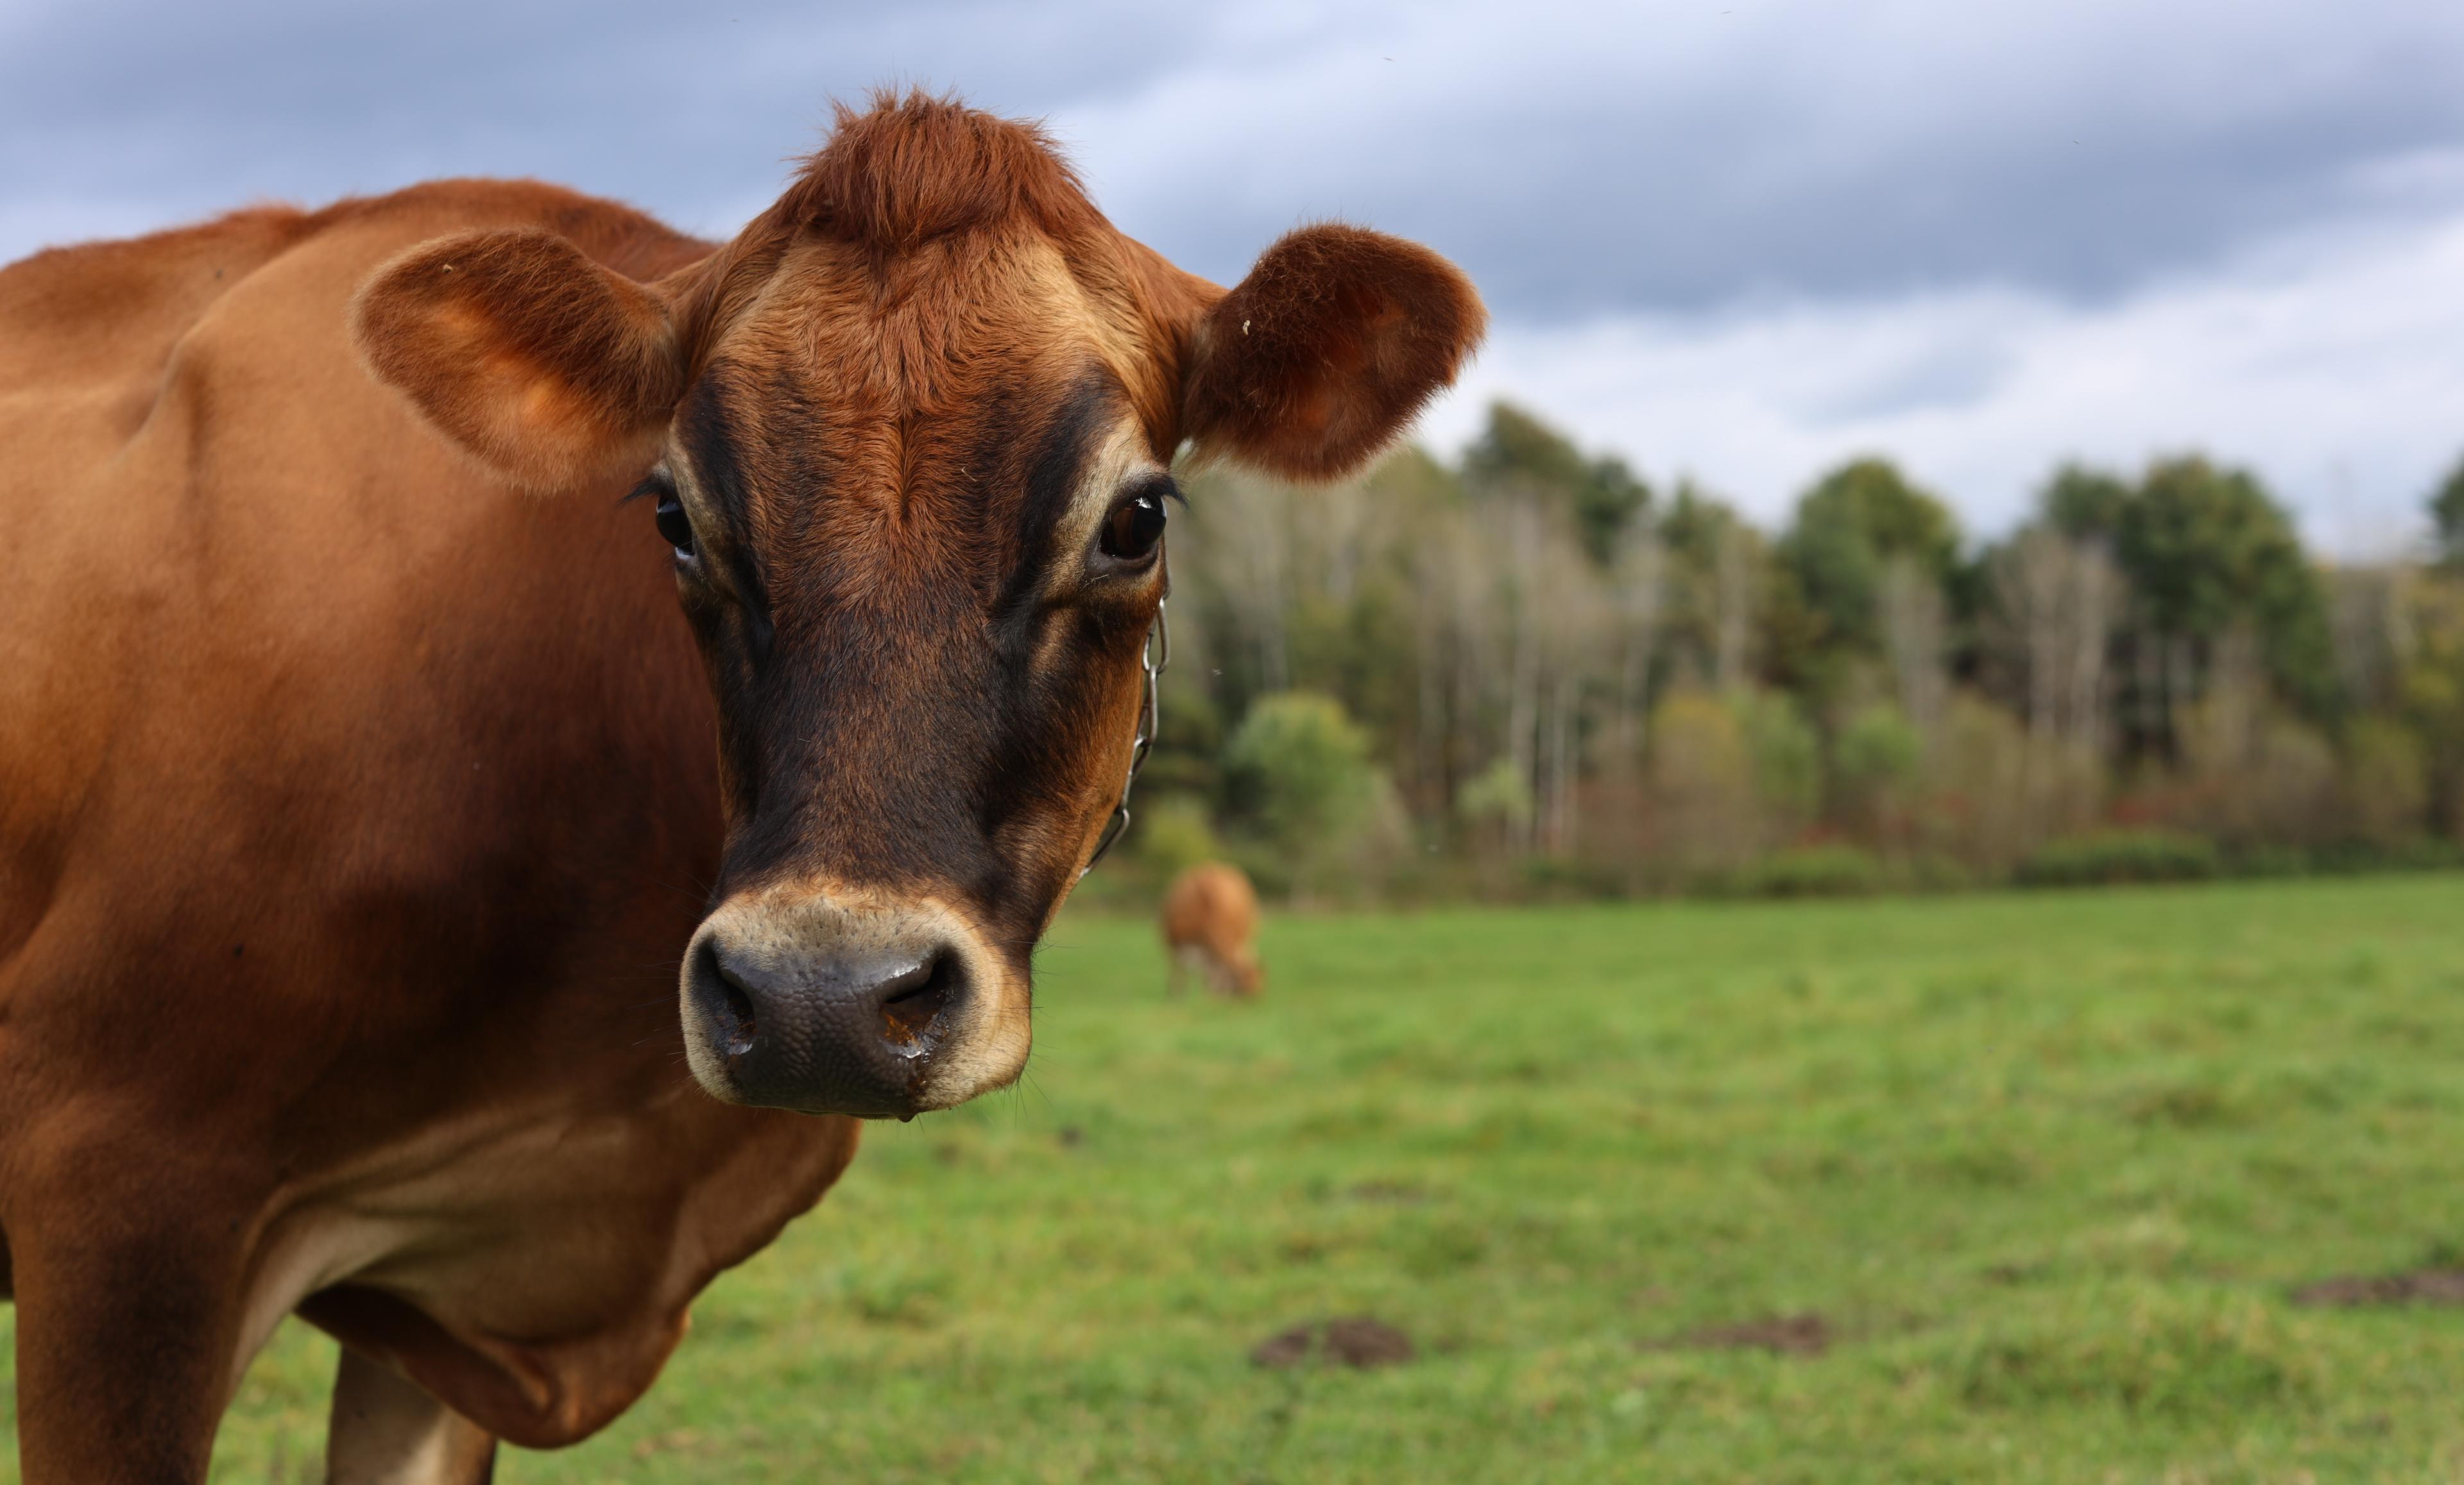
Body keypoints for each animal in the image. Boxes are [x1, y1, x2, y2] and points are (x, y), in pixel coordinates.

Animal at [1161, 863, 1265, 998]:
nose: (1255, 996)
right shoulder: (1175, 947)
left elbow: (1215, 976)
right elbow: (1178, 973)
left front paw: (1211, 996)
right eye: (1240, 989)